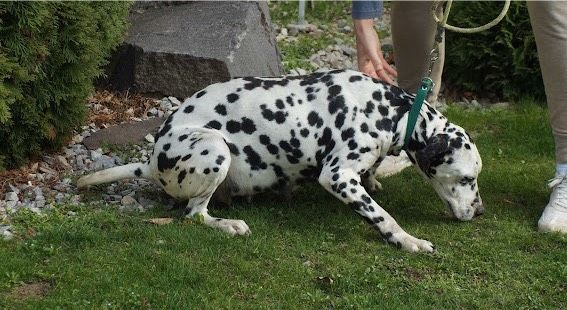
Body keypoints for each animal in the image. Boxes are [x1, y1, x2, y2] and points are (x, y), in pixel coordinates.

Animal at [79, 69, 484, 252]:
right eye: (466, 179)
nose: (480, 212)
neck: (393, 112)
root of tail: (151, 161)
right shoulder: (336, 176)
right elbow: (383, 215)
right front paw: (406, 240)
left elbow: (372, 174)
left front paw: (374, 179)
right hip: (215, 148)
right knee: (194, 214)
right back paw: (228, 224)